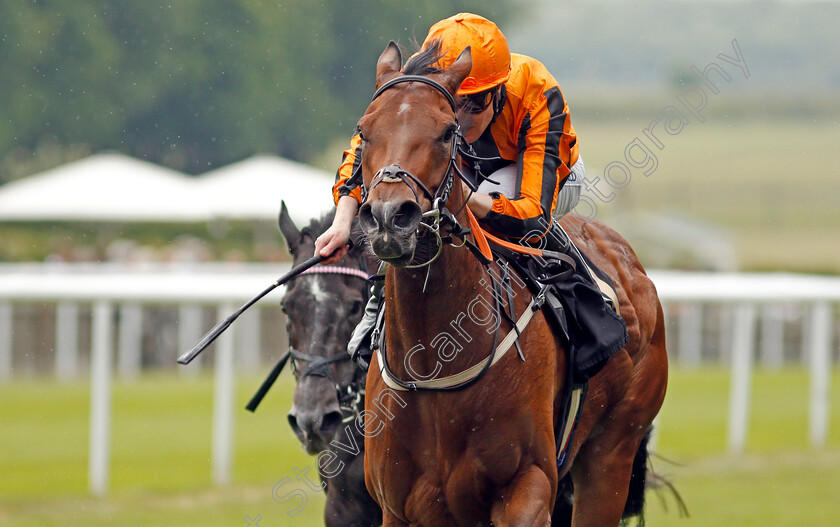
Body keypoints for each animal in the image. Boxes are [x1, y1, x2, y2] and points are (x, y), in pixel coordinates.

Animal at [354, 42, 668, 527]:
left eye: (446, 132)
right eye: (364, 131)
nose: (390, 216)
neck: (436, 360)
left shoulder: (528, 482)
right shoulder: (399, 506)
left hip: (612, 450)